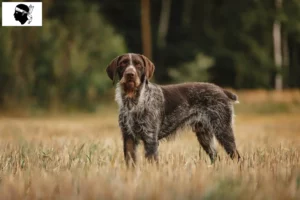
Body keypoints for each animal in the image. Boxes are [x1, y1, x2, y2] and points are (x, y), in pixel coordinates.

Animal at [106, 52, 240, 166]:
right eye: (123, 63)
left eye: (138, 64)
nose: (130, 74)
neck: (133, 101)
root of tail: (222, 90)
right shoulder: (128, 138)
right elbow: (130, 163)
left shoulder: (150, 138)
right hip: (205, 135)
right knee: (215, 156)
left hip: (223, 130)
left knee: (237, 156)